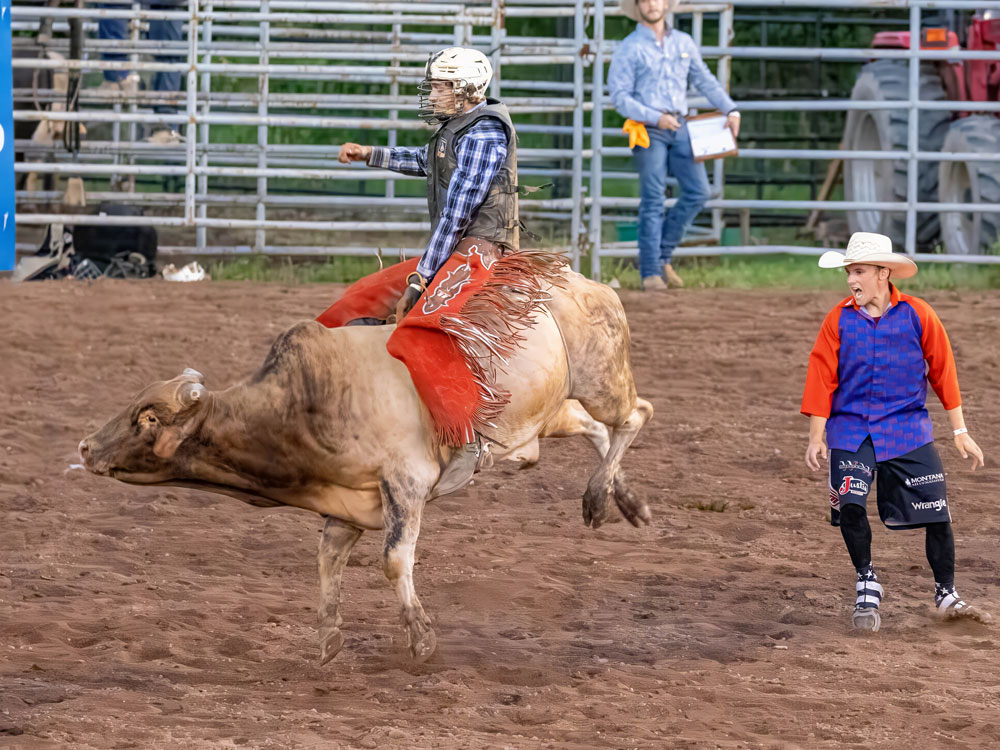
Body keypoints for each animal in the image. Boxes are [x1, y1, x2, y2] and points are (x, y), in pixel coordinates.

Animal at [79, 270, 653, 663]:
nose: (85, 447)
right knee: (596, 431)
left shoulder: (406, 483)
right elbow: (328, 560)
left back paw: (605, 497)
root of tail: (583, 280)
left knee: (634, 415)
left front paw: (421, 637)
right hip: (543, 415)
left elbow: (394, 561)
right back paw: (617, 499)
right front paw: (328, 636)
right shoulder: (348, 500)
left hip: (601, 379)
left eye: (148, 417)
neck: (306, 403)